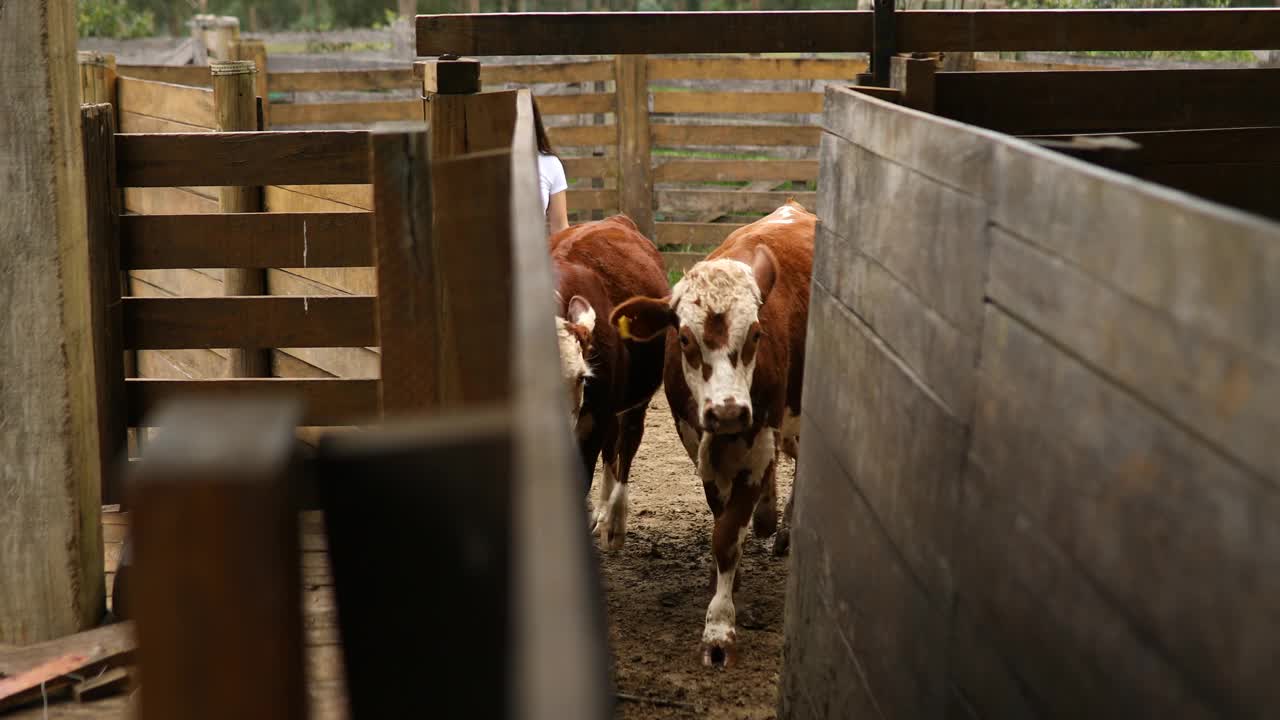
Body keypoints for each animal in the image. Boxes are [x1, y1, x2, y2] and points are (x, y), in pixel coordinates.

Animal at [609, 198, 808, 666]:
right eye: (684, 338)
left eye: (756, 333)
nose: (729, 412)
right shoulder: (698, 443)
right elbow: (723, 522)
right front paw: (729, 586)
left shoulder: (757, 444)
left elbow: (727, 537)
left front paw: (719, 628)